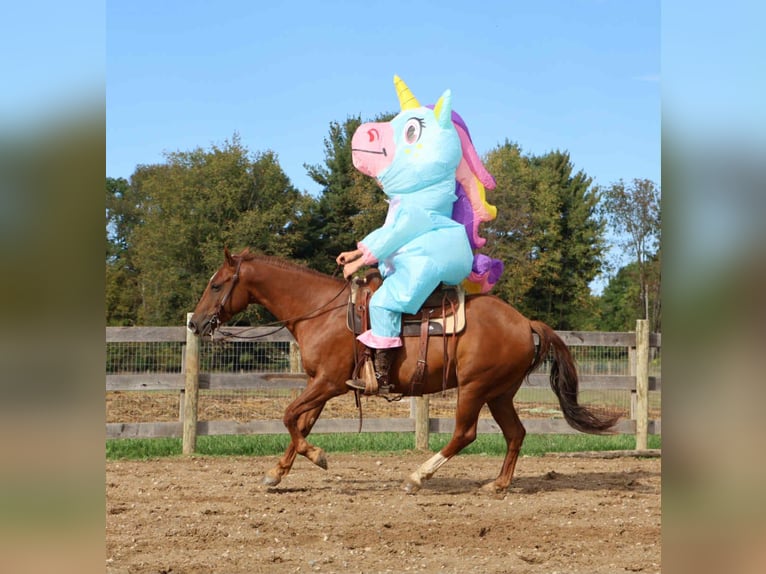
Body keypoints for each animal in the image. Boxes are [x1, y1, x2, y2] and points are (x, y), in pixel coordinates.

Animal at [188, 247, 618, 493]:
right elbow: (300, 423)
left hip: (475, 388)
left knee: (465, 434)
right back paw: (497, 484)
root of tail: (526, 322)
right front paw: (277, 473)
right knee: (516, 433)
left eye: (217, 285)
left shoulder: (328, 383)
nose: (197, 323)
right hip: (499, 392)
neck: (321, 312)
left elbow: (289, 416)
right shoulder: (319, 384)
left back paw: (416, 478)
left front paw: (318, 457)